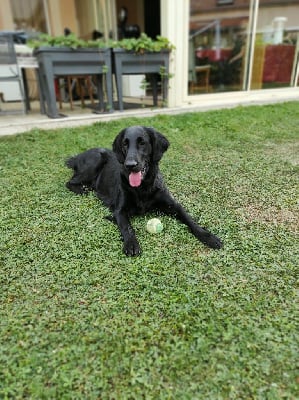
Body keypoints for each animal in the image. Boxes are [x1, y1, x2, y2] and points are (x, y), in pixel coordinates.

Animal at [65, 126, 223, 256]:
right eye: (125, 144)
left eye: (142, 143)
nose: (130, 165)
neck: (143, 186)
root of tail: (77, 156)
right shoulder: (119, 210)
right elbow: (127, 227)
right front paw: (131, 244)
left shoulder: (173, 204)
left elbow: (189, 218)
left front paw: (208, 236)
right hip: (95, 160)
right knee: (69, 182)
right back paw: (83, 190)